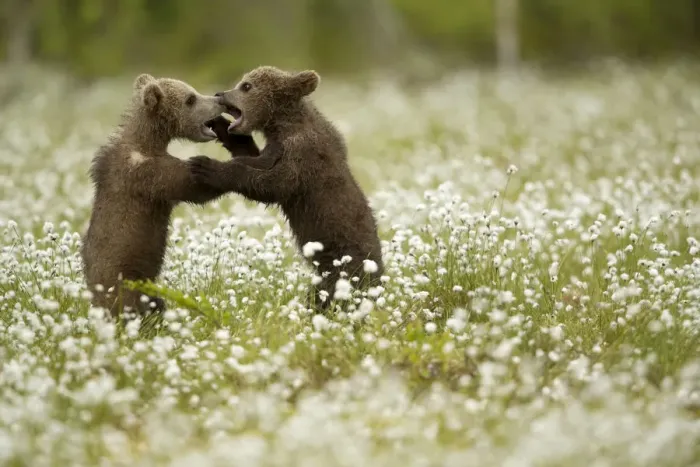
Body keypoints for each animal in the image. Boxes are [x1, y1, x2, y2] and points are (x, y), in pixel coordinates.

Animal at [81, 73, 277, 318]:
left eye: (193, 93)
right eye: (190, 99)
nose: (218, 100)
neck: (148, 141)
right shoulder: (147, 175)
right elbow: (192, 185)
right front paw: (211, 167)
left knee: (155, 303)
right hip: (124, 280)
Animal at [188, 66, 384, 312]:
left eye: (246, 85)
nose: (220, 94)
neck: (284, 123)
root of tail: (378, 283)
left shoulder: (302, 154)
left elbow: (272, 185)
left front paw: (206, 166)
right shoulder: (274, 149)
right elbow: (252, 158)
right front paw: (220, 125)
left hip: (343, 268)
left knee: (326, 297)